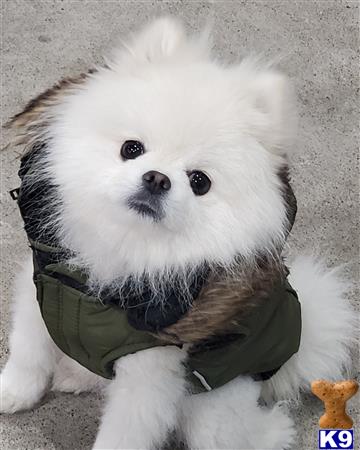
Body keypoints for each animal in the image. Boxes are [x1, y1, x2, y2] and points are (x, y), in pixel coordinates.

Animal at [0, 17, 354, 450]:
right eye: (131, 148)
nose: (156, 178)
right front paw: (12, 393)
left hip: (213, 412)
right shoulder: (39, 295)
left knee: (240, 432)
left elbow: (124, 431)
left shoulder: (149, 371)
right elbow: (28, 352)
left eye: (199, 181)